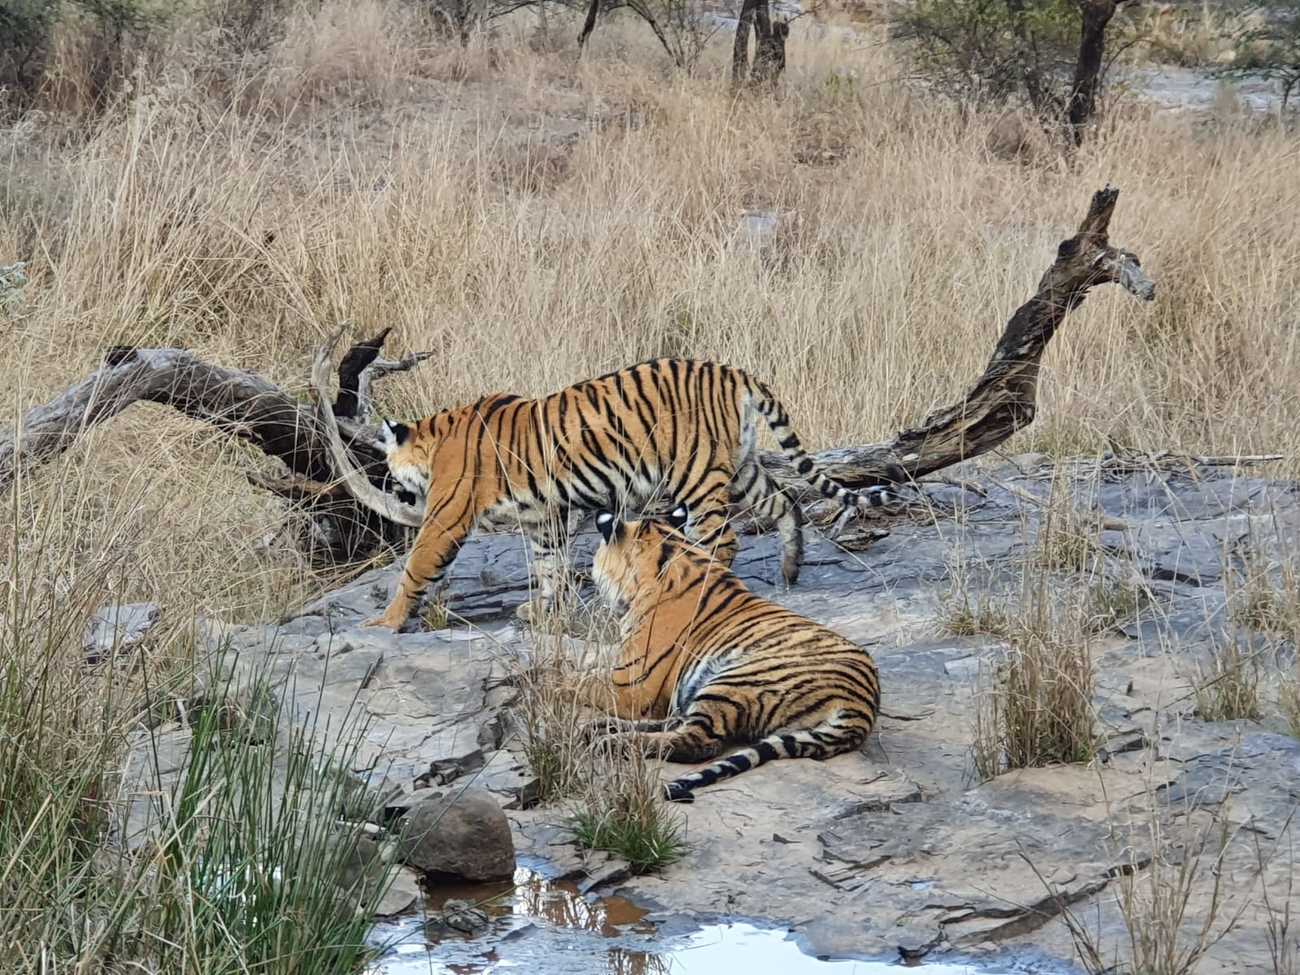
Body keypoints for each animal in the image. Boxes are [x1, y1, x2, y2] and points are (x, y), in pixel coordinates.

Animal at [361, 358, 899, 634]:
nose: (392, 487)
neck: (436, 438)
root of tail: (735, 373)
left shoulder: (447, 517)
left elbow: (416, 568)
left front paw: (385, 622)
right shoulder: (545, 518)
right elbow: (549, 565)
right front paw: (542, 611)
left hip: (696, 474)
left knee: (723, 540)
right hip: (742, 467)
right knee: (785, 502)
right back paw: (790, 572)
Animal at [590, 506, 883, 806]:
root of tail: (860, 710)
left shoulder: (631, 685)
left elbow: (581, 682)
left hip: (734, 679)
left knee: (698, 740)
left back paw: (611, 741)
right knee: (679, 721)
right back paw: (601, 726)